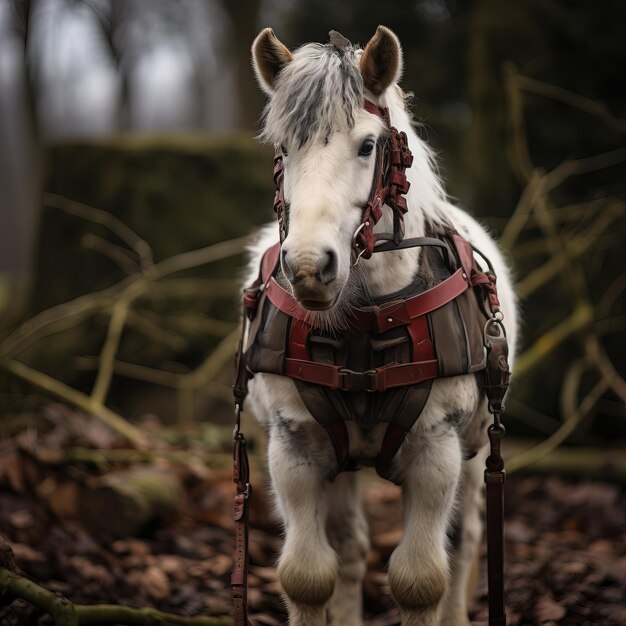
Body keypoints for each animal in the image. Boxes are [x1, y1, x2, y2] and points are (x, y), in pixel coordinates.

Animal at [241, 25, 516, 624]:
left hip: (477, 450)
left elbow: (421, 581)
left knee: (467, 539)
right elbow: (307, 576)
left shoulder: (437, 451)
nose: (307, 267)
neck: (361, 321)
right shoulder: (294, 447)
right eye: (284, 148)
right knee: (349, 549)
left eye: (368, 146)